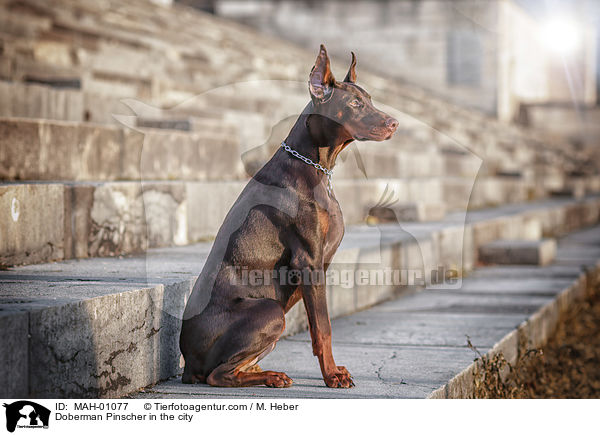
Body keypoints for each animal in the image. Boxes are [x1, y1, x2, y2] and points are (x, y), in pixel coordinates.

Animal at [180, 46, 400, 390]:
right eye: (354, 104)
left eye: (370, 99)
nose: (394, 124)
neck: (315, 164)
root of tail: (187, 363)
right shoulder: (308, 260)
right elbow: (323, 328)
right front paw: (331, 376)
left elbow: (317, 327)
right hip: (270, 311)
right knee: (218, 375)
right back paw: (268, 376)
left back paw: (266, 373)